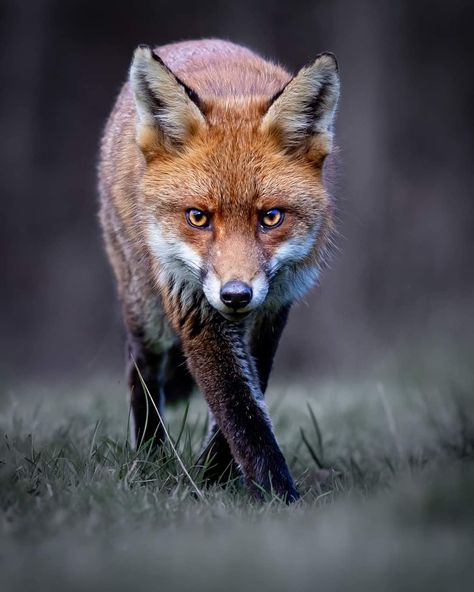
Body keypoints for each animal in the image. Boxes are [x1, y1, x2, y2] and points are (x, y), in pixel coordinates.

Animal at [98, 37, 338, 502]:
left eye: (270, 218)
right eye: (198, 217)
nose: (235, 295)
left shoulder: (273, 307)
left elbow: (246, 399)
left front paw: (215, 473)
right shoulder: (192, 301)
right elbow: (237, 405)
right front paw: (278, 495)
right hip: (145, 309)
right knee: (142, 367)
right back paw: (149, 455)